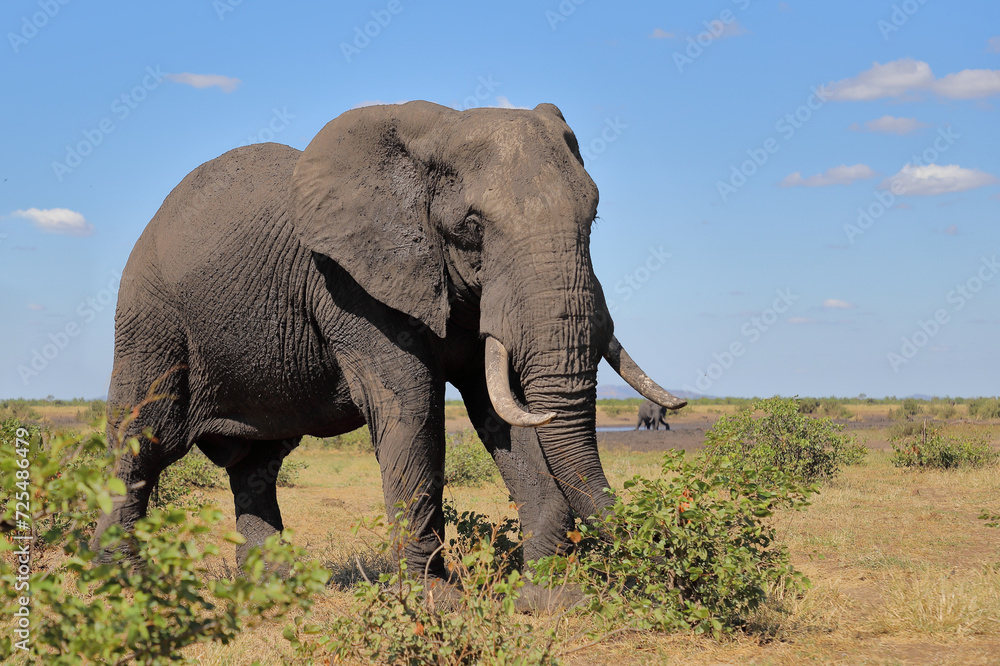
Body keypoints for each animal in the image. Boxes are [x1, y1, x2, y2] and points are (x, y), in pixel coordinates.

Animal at [93, 100, 685, 590]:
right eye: (473, 226)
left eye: (594, 217)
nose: (664, 561)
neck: (438, 131)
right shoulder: (350, 284)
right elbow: (413, 406)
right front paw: (435, 604)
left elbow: (502, 410)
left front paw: (548, 600)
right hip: (151, 320)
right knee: (145, 441)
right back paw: (123, 584)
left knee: (256, 464)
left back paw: (277, 589)